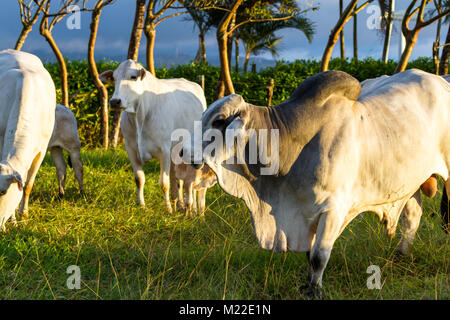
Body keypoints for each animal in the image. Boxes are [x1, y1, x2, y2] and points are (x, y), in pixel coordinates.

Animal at [100, 59, 206, 212]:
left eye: (133, 77)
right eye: (114, 78)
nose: (115, 101)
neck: (139, 116)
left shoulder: (164, 151)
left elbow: (164, 183)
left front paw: (168, 208)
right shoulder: (131, 149)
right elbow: (139, 179)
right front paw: (141, 205)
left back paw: (190, 208)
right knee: (177, 179)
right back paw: (179, 203)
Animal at [183, 69, 450, 298]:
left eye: (219, 121)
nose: (184, 151)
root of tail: (441, 81)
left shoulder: (333, 209)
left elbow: (319, 256)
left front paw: (315, 291)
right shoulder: (304, 214)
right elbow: (309, 255)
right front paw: (308, 285)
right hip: (411, 182)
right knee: (412, 216)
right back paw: (401, 255)